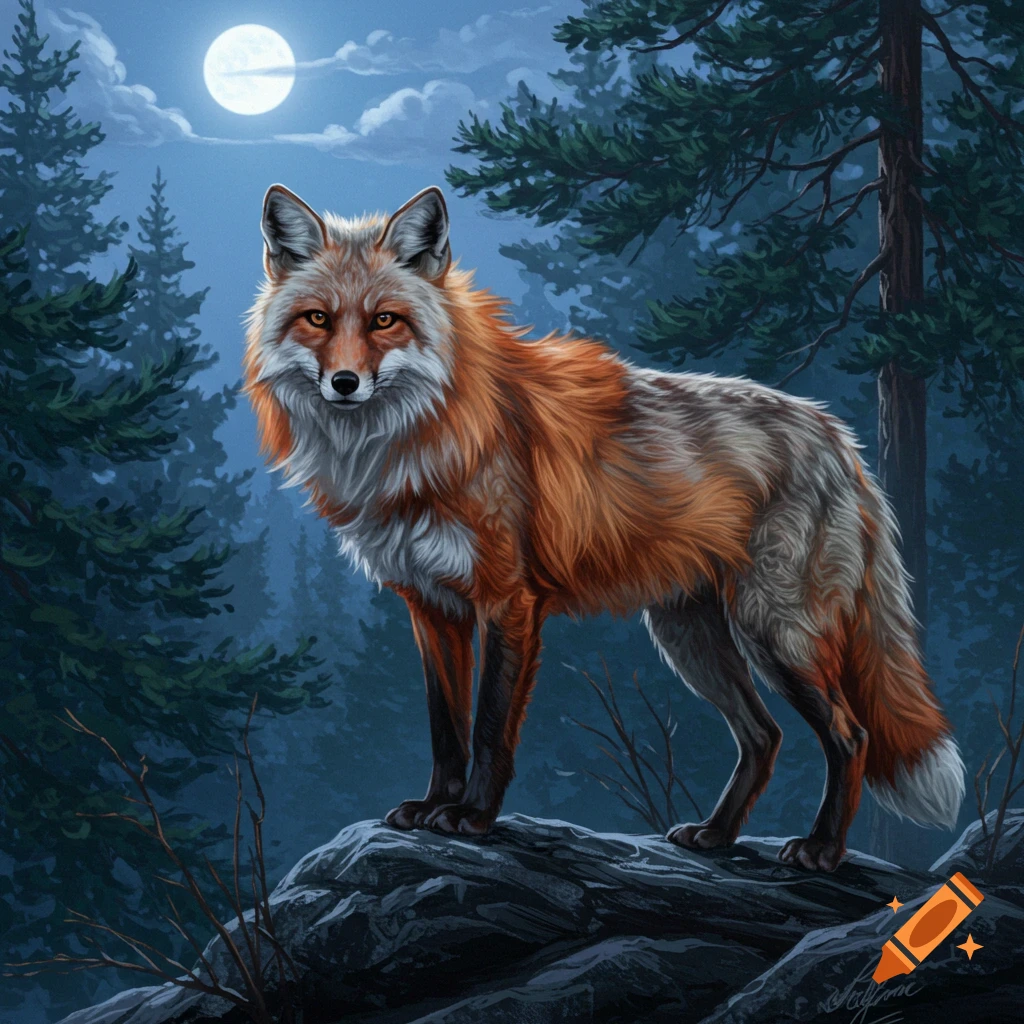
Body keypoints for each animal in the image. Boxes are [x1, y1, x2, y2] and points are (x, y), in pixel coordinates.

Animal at [243, 183, 965, 872]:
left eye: (385, 321)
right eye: (318, 318)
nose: (344, 382)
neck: (419, 444)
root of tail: (840, 437)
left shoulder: (510, 600)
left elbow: (489, 729)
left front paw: (471, 817)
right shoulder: (432, 607)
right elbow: (445, 729)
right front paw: (432, 807)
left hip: (776, 632)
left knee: (850, 735)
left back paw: (821, 849)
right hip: (689, 637)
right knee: (765, 736)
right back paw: (716, 835)